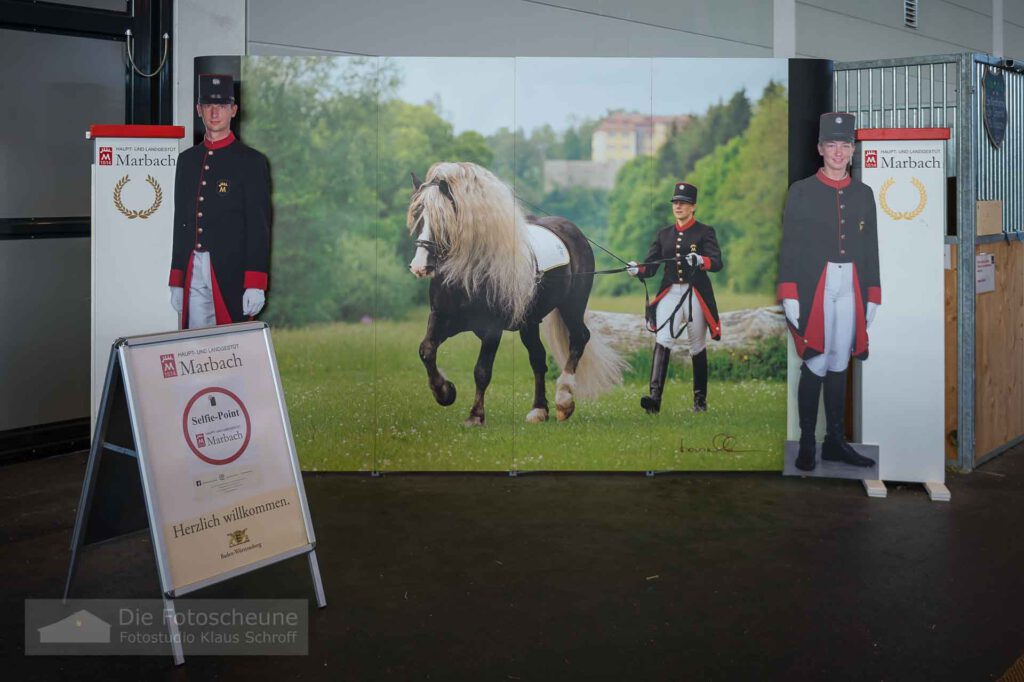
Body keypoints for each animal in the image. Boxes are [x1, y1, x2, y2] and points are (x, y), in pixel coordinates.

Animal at [407, 160, 622, 425]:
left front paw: (475, 415)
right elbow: (426, 351)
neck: (468, 275)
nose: (419, 266)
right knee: (538, 358)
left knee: (579, 338)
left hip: (572, 306)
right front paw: (445, 392)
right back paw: (539, 409)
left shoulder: (492, 329)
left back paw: (563, 400)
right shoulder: (441, 318)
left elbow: (482, 370)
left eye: (443, 221)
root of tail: (573, 231)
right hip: (529, 322)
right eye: (417, 216)